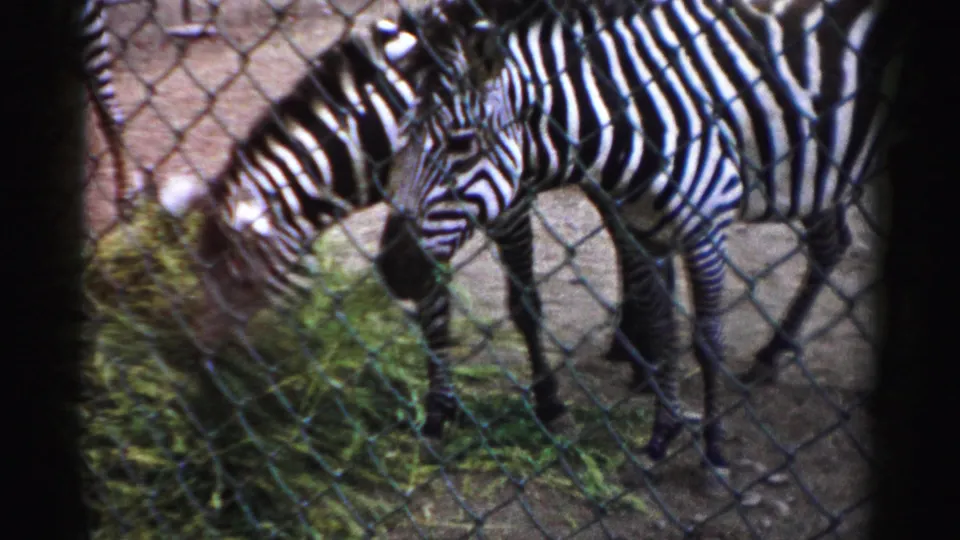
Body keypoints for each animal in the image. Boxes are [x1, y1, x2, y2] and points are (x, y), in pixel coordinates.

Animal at [155, 3, 672, 443]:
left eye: (243, 285)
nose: (207, 390)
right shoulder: (413, 216)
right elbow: (432, 306)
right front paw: (440, 408)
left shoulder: (507, 198)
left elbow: (524, 304)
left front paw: (549, 405)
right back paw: (630, 343)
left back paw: (642, 357)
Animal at [379, 0, 904, 487]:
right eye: (397, 142)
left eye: (461, 143)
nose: (394, 270)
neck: (635, 121)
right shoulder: (642, 227)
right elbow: (663, 327)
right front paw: (659, 436)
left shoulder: (705, 224)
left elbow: (707, 341)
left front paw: (713, 452)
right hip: (821, 169)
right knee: (831, 241)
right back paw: (773, 353)